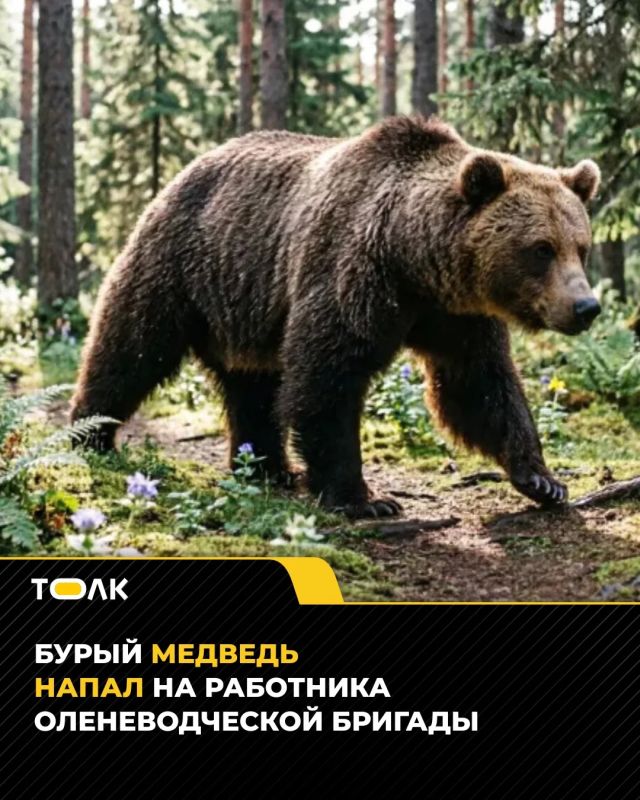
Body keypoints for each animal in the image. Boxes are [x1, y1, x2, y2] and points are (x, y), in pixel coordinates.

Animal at [71, 116, 601, 519]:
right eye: (540, 249)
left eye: (581, 246)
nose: (586, 307)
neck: (414, 262)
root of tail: (185, 171)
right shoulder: (352, 273)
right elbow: (327, 381)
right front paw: (363, 498)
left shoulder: (455, 316)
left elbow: (479, 386)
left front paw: (543, 479)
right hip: (182, 266)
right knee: (130, 346)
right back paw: (91, 434)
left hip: (246, 306)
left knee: (253, 387)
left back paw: (269, 468)